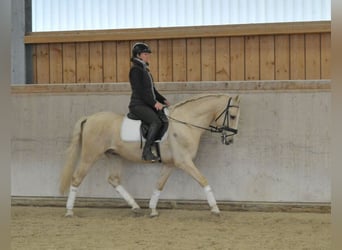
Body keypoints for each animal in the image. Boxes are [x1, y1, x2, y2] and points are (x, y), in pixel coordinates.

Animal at [59, 94, 240, 217]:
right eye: (232, 116)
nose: (230, 140)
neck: (186, 123)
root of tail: (89, 118)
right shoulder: (183, 162)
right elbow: (203, 180)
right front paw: (215, 209)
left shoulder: (170, 164)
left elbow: (159, 185)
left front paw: (152, 209)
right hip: (90, 155)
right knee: (76, 178)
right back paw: (69, 211)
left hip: (114, 156)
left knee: (113, 180)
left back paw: (135, 206)